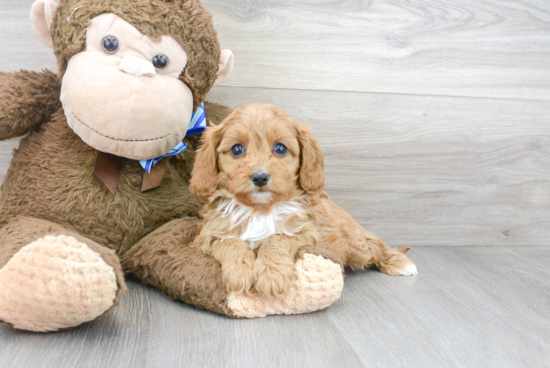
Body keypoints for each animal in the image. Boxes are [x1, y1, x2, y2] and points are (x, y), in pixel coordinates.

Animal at [191, 102, 418, 298]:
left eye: (280, 148)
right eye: (237, 149)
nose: (260, 177)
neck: (261, 209)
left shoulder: (305, 232)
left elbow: (276, 238)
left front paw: (273, 276)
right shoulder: (208, 235)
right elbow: (231, 242)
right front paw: (240, 273)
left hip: (356, 243)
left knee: (376, 246)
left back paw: (401, 264)